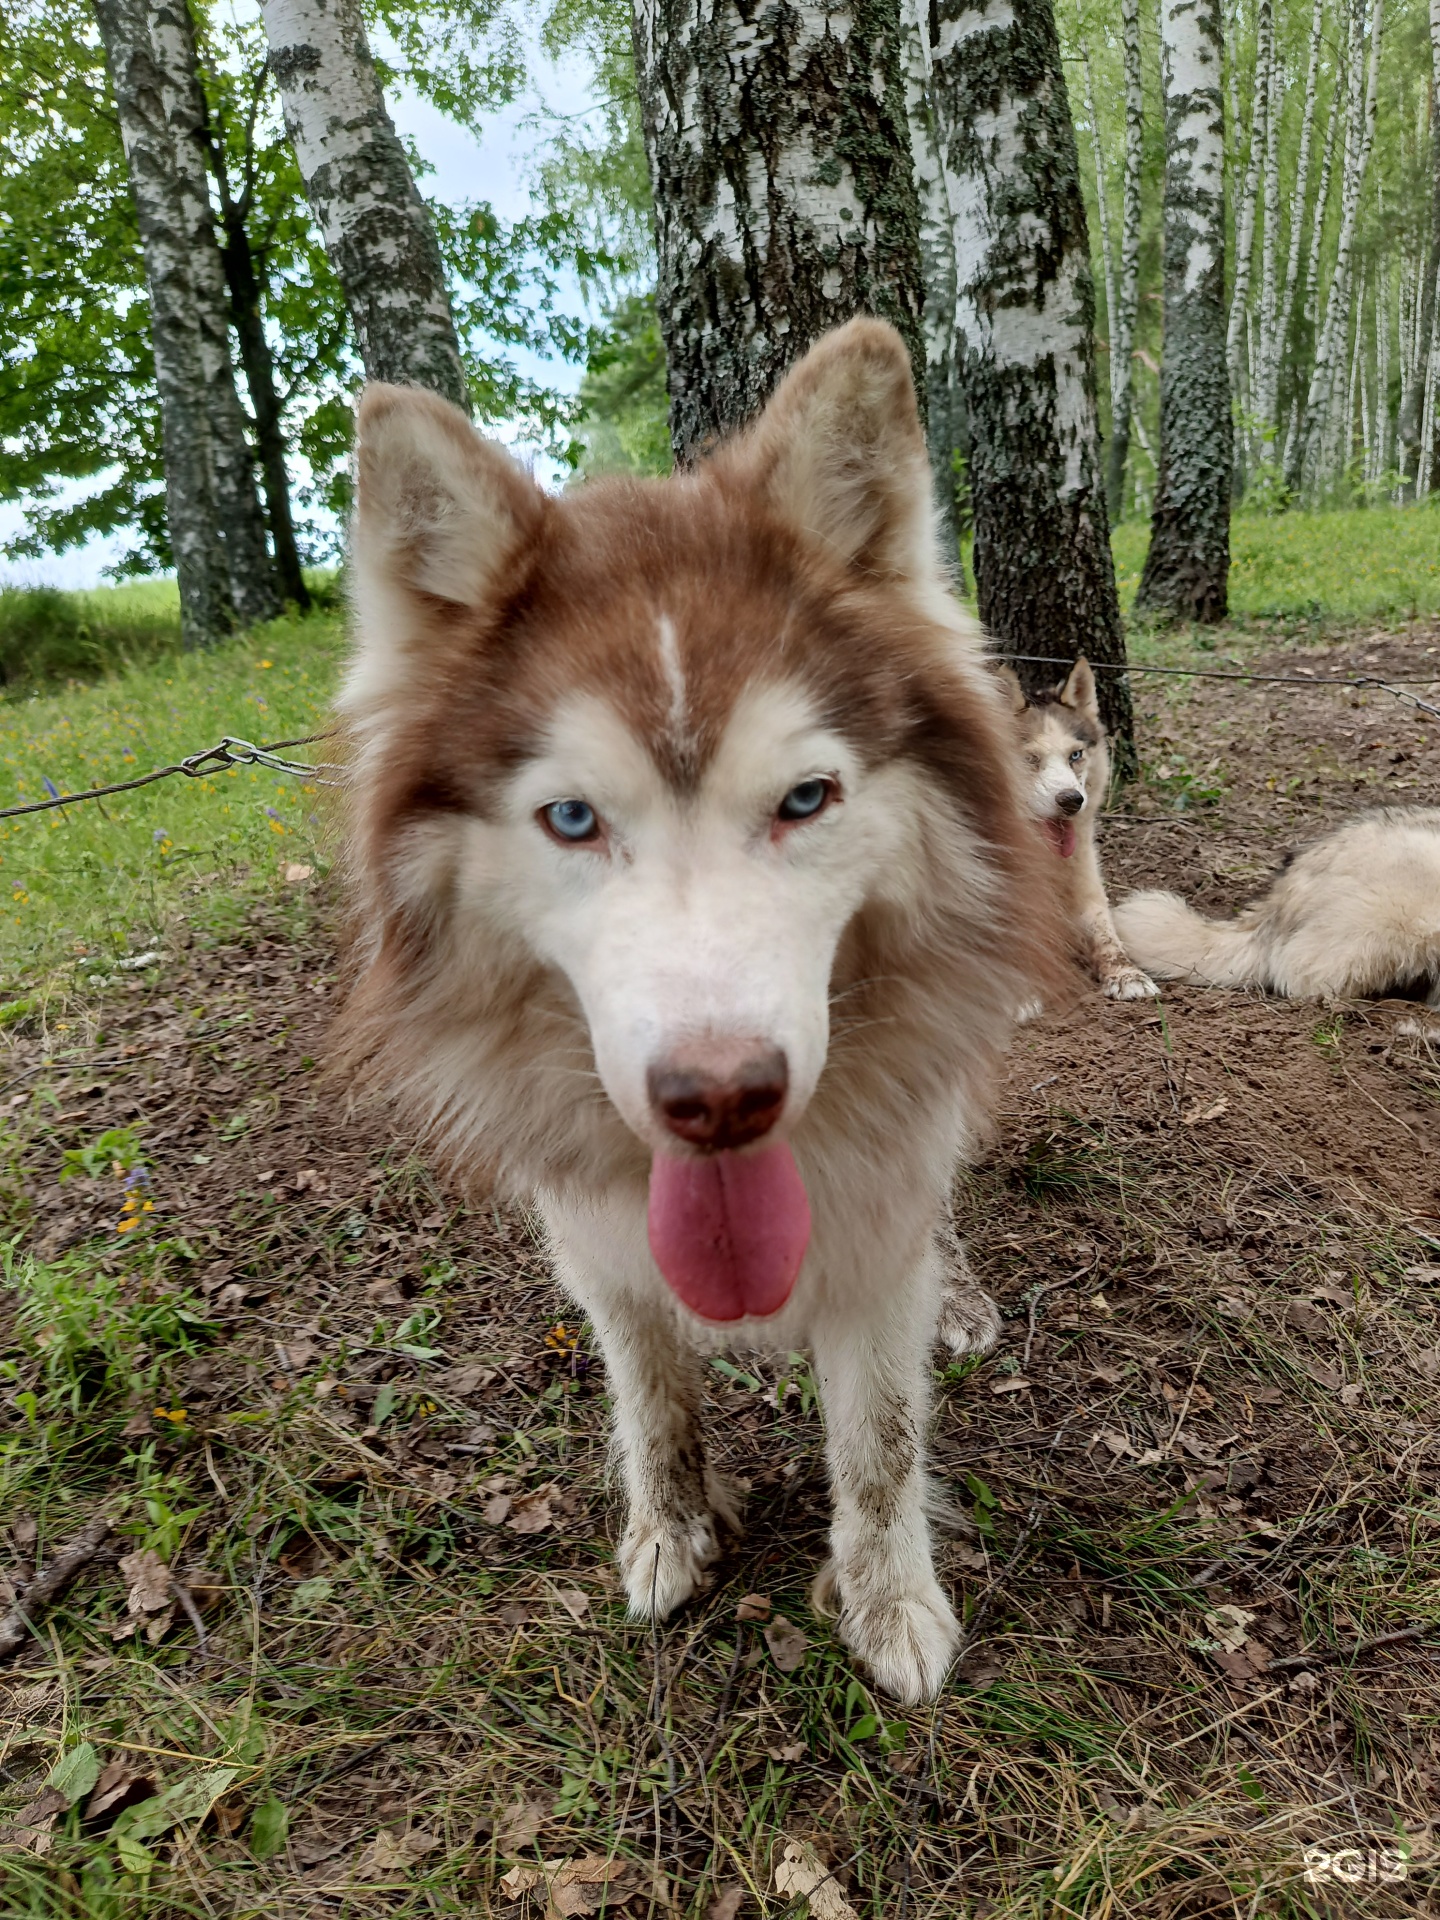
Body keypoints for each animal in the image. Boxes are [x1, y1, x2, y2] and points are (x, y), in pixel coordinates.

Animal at [1006, 660, 1159, 1006]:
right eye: (1031, 758)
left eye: (1075, 755)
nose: (1071, 800)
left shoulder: (1086, 889)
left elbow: (1105, 932)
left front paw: (1126, 974)